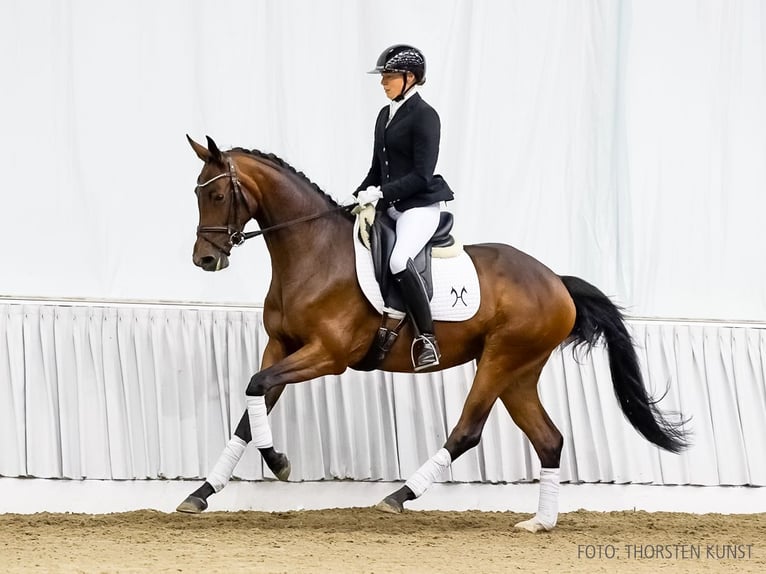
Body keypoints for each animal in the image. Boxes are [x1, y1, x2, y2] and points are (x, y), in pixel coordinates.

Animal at [178, 134, 688, 532]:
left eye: (217, 196)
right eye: (197, 195)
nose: (205, 259)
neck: (313, 253)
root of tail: (557, 281)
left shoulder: (328, 355)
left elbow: (256, 387)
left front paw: (279, 464)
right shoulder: (281, 345)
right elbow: (250, 408)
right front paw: (201, 492)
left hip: (501, 360)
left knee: (467, 430)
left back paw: (399, 496)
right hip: (519, 371)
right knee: (549, 439)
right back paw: (539, 523)